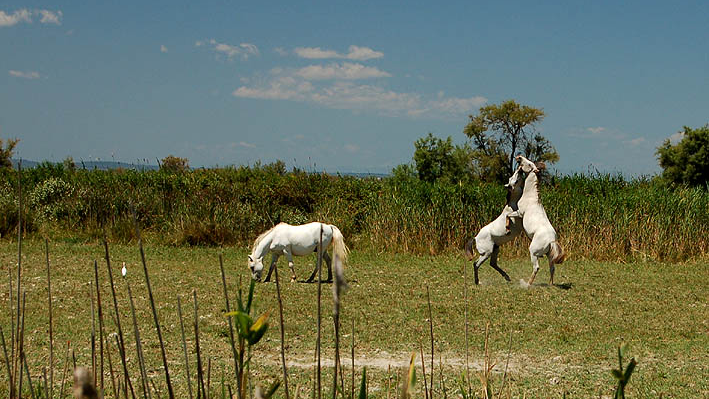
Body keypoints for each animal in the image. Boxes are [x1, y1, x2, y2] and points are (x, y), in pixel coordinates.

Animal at [506, 157, 568, 288]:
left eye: (529, 164)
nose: (519, 158)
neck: (531, 196)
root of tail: (551, 241)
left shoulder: (519, 213)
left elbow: (508, 215)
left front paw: (508, 228)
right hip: (550, 256)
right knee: (552, 268)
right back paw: (550, 284)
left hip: (533, 253)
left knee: (536, 267)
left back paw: (527, 284)